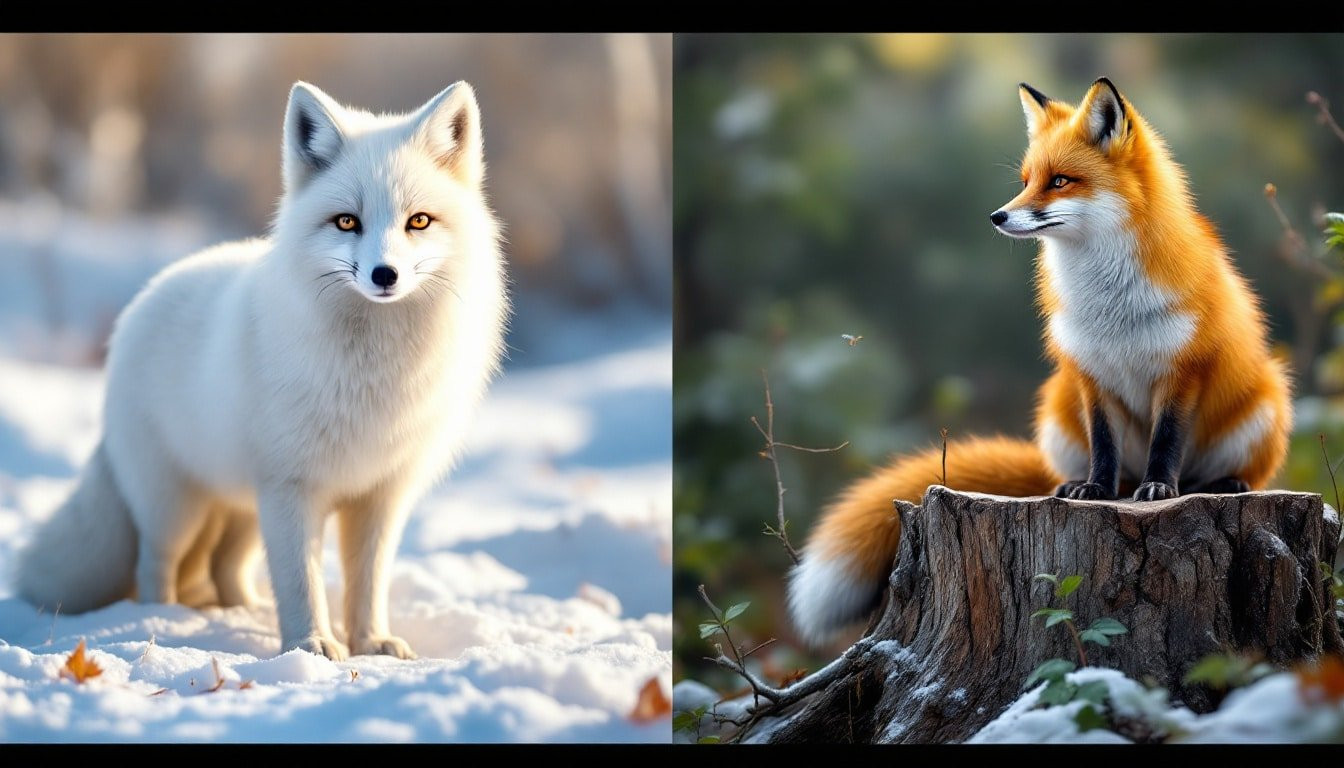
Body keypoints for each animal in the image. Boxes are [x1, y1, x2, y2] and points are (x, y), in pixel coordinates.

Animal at [15, 81, 508, 660]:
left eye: (419, 221)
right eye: (347, 221)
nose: (384, 274)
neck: (373, 372)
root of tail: (141, 302)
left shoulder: (380, 496)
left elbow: (367, 584)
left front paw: (369, 642)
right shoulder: (291, 487)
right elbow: (300, 582)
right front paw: (313, 645)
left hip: (244, 510)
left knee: (223, 567)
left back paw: (239, 613)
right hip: (177, 507)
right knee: (154, 565)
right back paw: (166, 618)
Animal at [787, 77, 1292, 647]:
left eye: (1061, 181)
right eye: (1027, 181)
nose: (997, 216)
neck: (1111, 302)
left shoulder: (1182, 370)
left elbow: (1167, 441)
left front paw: (1160, 488)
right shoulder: (1090, 373)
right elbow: (1104, 447)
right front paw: (1095, 490)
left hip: (1266, 404)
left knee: (1226, 474)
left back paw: (1222, 484)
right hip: (1056, 408)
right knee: (1102, 473)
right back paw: (1086, 488)